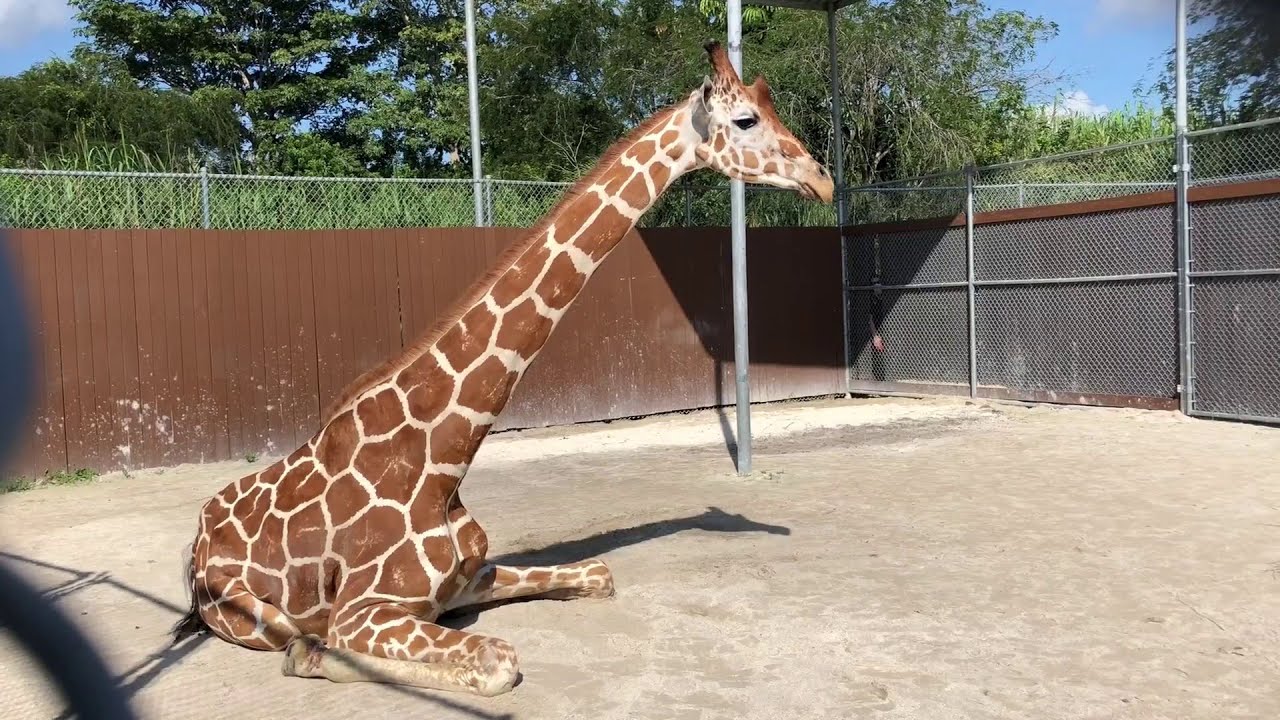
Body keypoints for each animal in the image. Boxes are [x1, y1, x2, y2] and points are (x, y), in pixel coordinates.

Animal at [171, 41, 834, 696]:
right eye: (745, 120)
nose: (822, 179)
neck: (442, 460)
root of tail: (197, 538)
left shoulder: (468, 580)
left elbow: (598, 572)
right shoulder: (364, 608)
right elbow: (494, 661)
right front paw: (316, 654)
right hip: (245, 612)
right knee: (292, 633)